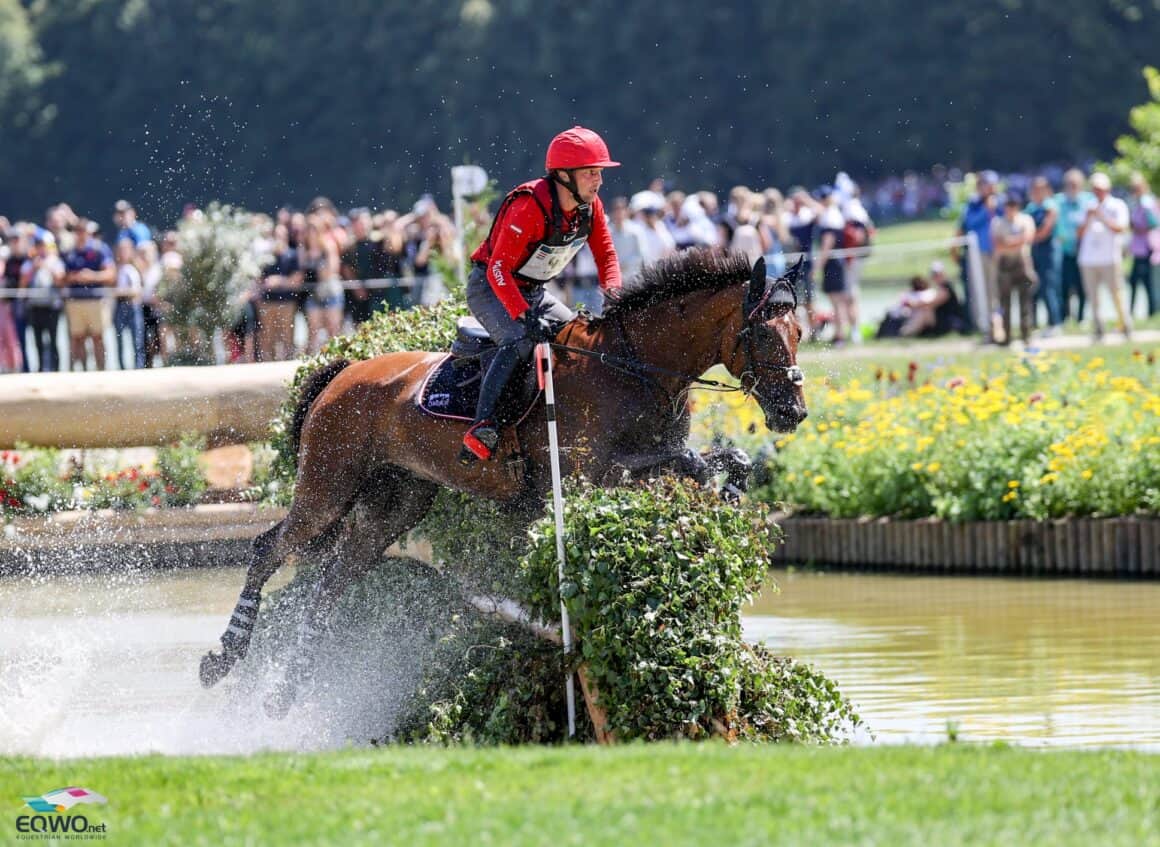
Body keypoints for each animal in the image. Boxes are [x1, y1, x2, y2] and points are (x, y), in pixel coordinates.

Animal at [199, 245, 802, 714]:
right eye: (766, 337)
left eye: (800, 332)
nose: (793, 413)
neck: (631, 367)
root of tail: (343, 370)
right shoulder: (590, 472)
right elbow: (691, 463)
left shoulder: (646, 462)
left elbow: (721, 459)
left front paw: (730, 492)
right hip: (329, 486)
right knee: (269, 548)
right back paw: (221, 660)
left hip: (396, 502)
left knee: (331, 583)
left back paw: (289, 691)